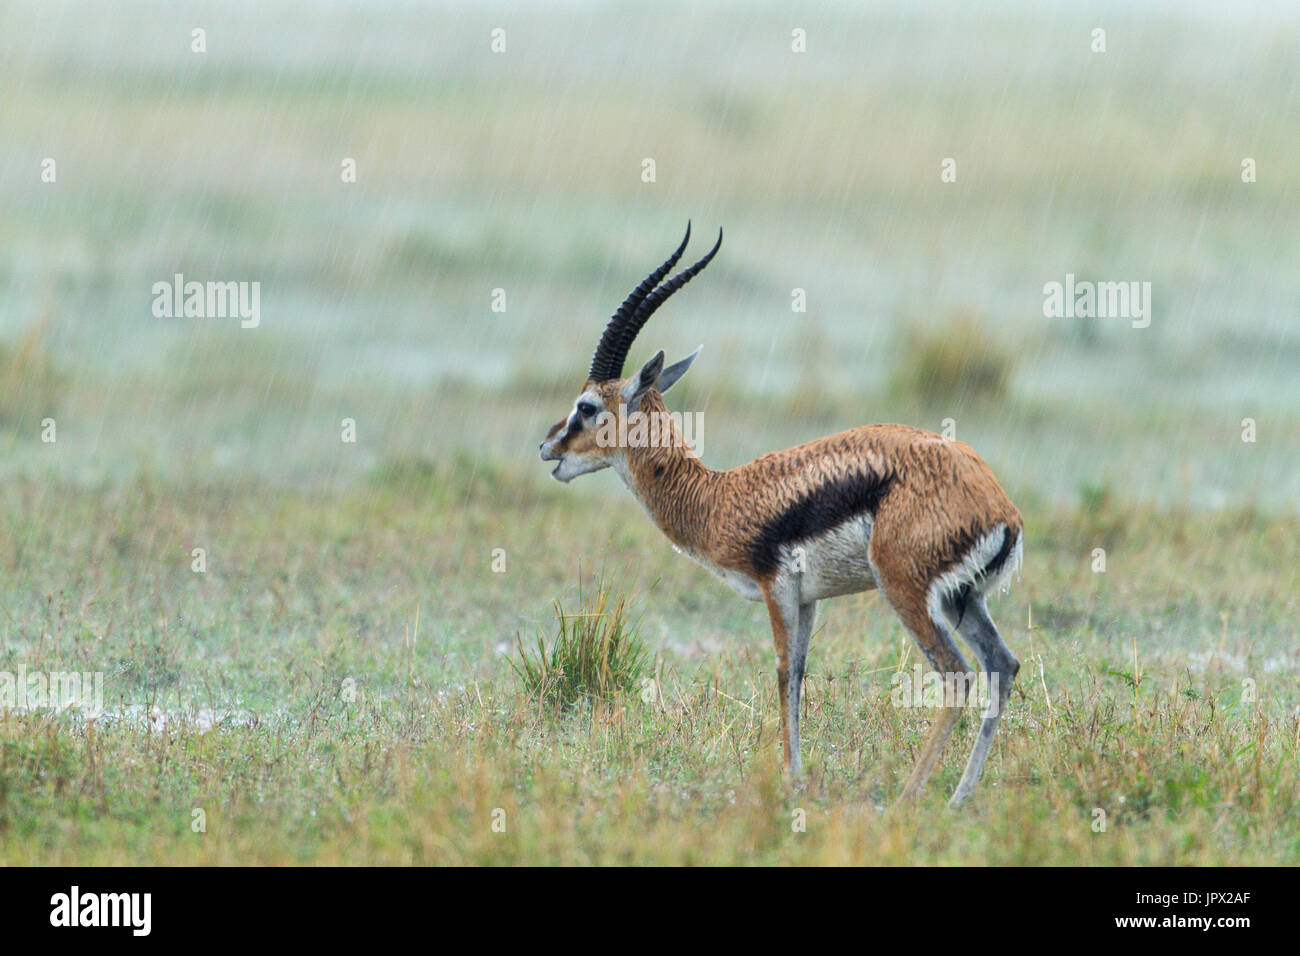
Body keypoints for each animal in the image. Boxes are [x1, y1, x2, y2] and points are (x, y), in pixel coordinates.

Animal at [539, 224, 1023, 806]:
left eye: (587, 406)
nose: (546, 447)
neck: (717, 497)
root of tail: (998, 506)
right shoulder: (809, 599)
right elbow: (800, 674)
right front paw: (796, 776)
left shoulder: (777, 588)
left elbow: (783, 673)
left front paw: (790, 781)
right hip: (962, 599)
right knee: (1002, 666)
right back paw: (958, 800)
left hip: (906, 591)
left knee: (957, 676)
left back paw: (908, 800)